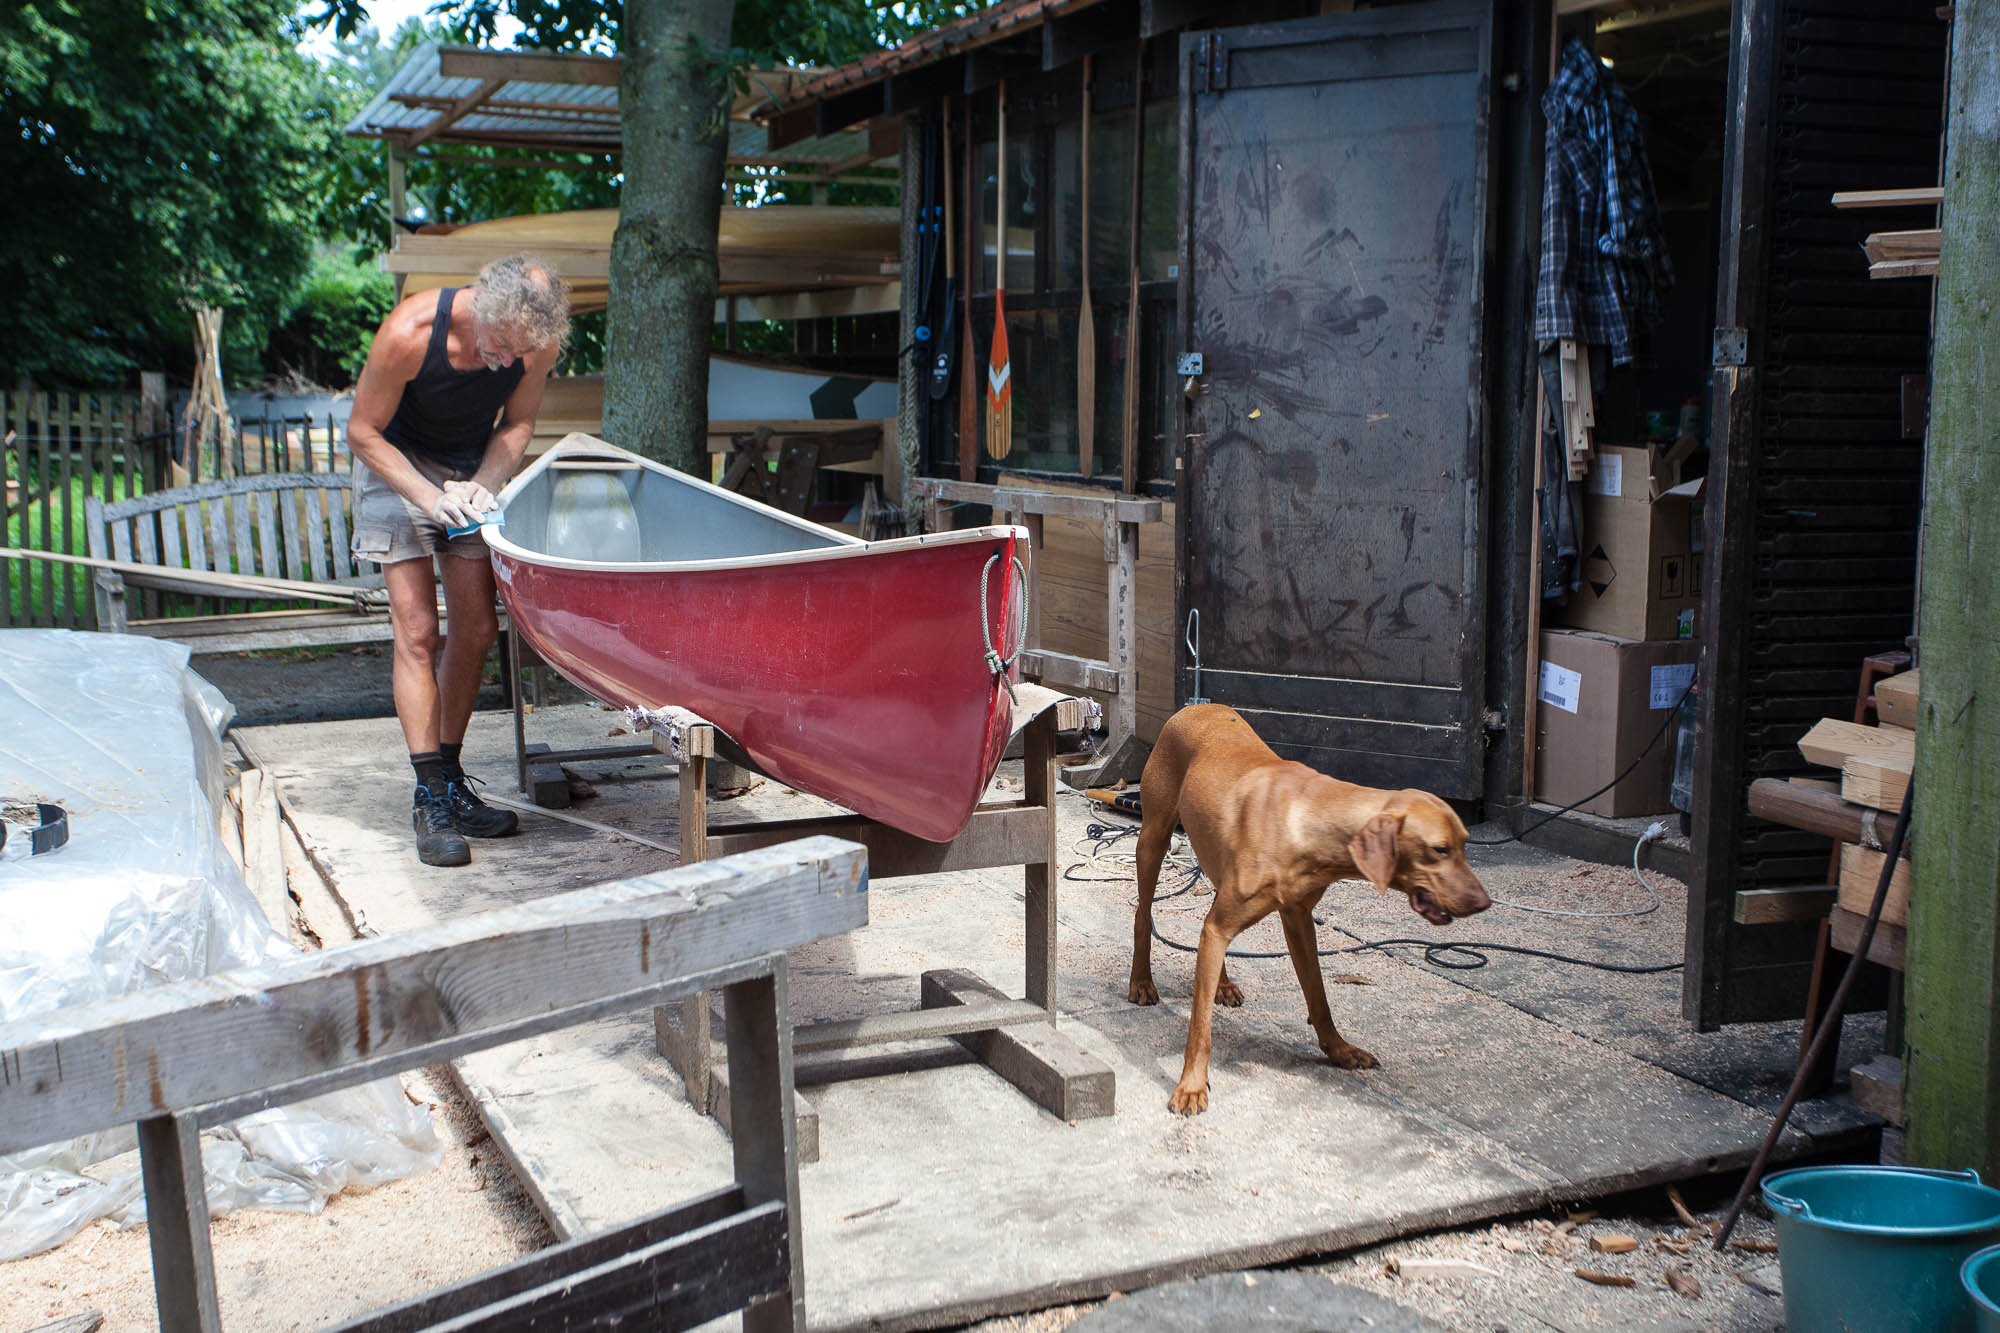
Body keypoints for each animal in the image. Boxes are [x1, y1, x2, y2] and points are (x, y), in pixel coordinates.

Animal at [1128, 700, 1488, 1112]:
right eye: (1439, 849)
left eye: (1465, 843)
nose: (1483, 902)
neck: (1306, 820)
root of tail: (1196, 706)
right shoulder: (1232, 921)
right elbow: (1200, 1026)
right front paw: (1190, 1086)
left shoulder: (1298, 920)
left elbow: (1319, 997)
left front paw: (1340, 1050)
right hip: (1153, 837)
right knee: (1144, 914)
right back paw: (1141, 982)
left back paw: (1223, 984)